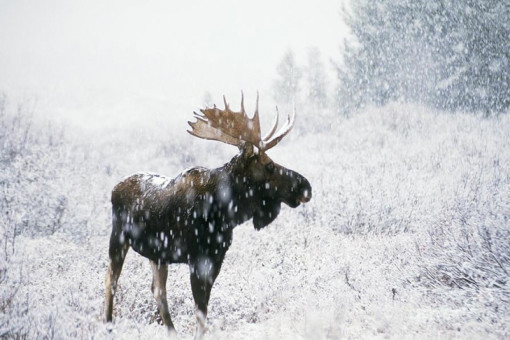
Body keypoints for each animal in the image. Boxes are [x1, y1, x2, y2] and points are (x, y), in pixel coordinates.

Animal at [103, 95, 310, 338]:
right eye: (268, 165)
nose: (306, 186)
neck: (226, 211)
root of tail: (114, 188)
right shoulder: (197, 257)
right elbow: (200, 312)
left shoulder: (217, 256)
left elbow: (203, 310)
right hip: (118, 238)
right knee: (111, 279)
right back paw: (107, 324)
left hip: (157, 255)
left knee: (158, 291)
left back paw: (172, 332)